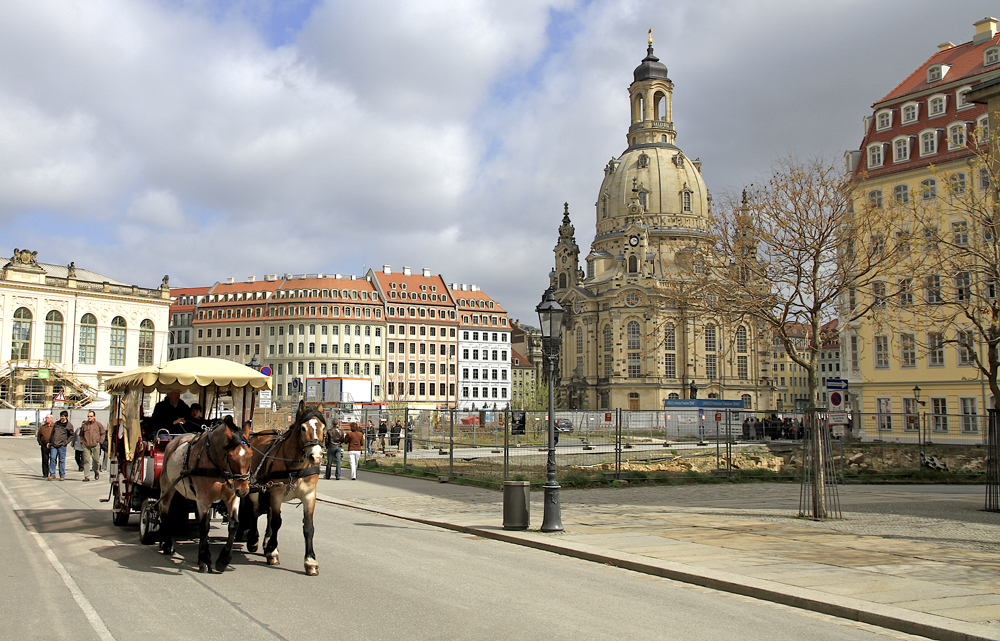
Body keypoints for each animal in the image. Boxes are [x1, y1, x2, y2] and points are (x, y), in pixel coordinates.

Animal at [159, 418, 254, 572]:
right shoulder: (203, 499)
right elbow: (204, 526)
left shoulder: (232, 498)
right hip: (167, 485)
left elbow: (234, 524)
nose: (244, 490)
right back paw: (167, 544)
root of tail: (174, 440)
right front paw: (204, 559)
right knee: (164, 511)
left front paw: (223, 559)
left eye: (250, 454)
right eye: (230, 456)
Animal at [238, 400, 324, 576]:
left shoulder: (309, 496)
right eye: (303, 428)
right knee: (255, 512)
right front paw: (272, 551)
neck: (295, 466)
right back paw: (254, 540)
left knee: (269, 515)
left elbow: (308, 527)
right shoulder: (276, 495)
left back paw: (266, 541)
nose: (317, 456)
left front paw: (310, 560)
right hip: (255, 488)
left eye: (322, 428)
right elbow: (277, 522)